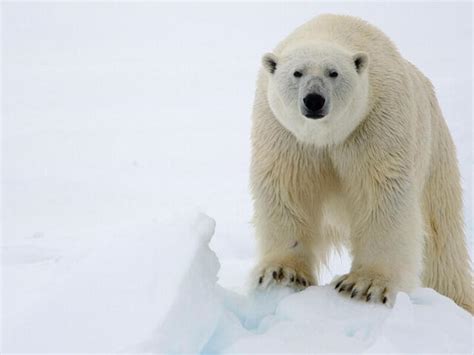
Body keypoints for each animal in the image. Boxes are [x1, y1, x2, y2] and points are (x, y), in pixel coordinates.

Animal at [250, 14, 472, 314]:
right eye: (297, 73)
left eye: (333, 73)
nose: (314, 100)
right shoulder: (284, 134)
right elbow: (288, 189)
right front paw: (282, 273)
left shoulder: (376, 121)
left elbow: (381, 194)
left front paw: (365, 286)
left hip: (435, 151)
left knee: (442, 237)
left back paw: (457, 299)